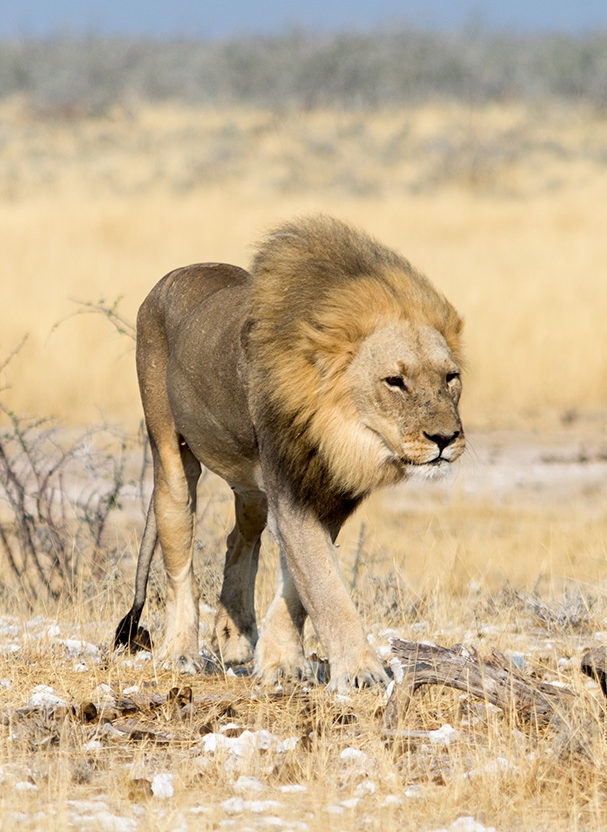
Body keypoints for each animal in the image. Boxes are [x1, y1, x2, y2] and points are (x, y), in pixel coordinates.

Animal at [114, 215, 465, 692]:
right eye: (395, 381)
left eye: (450, 377)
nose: (447, 438)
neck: (344, 432)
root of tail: (174, 274)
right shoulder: (290, 488)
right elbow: (325, 585)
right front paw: (360, 673)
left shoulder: (330, 494)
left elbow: (298, 585)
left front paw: (281, 661)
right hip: (170, 452)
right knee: (179, 551)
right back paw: (180, 652)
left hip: (250, 485)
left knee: (240, 535)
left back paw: (235, 634)